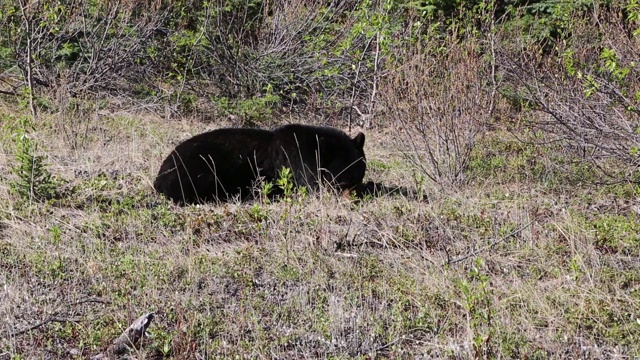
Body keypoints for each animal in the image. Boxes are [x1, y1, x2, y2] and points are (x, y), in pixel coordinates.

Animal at [152, 124, 368, 204]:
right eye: (341, 181)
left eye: (359, 176)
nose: (352, 198)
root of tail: (160, 176)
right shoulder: (298, 166)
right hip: (200, 169)